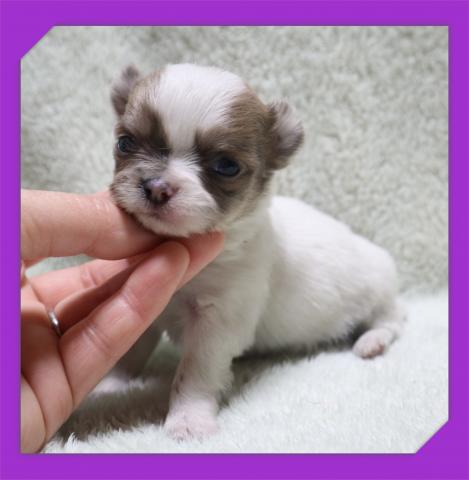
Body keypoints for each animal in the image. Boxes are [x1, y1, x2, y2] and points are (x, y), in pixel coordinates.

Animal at [108, 63, 404, 440]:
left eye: (226, 166)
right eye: (125, 143)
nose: (157, 187)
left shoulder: (217, 320)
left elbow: (194, 373)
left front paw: (189, 419)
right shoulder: (148, 305)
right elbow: (127, 351)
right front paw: (112, 385)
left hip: (376, 290)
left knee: (393, 319)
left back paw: (371, 341)